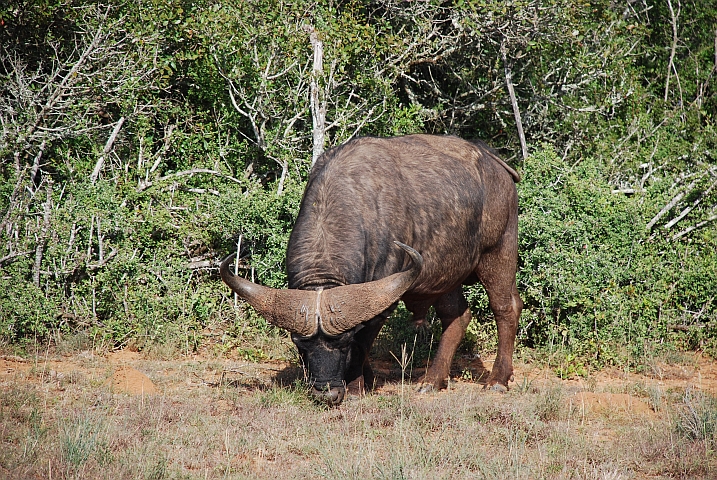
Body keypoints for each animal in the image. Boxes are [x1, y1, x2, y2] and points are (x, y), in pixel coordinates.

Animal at [221, 134, 524, 404]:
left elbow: (363, 344)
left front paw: (355, 388)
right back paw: (431, 380)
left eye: (343, 342)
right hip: (444, 276)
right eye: (300, 344)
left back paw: (497, 380)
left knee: (506, 307)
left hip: (499, 252)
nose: (326, 393)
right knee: (457, 316)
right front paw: (365, 381)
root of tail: (495, 162)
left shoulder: (381, 302)